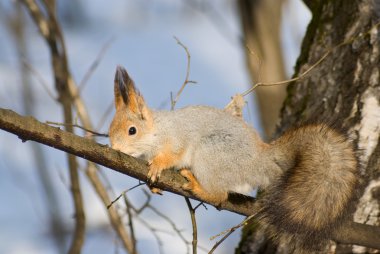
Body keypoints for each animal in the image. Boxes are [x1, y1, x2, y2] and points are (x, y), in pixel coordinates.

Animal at [109, 65, 360, 250]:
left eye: (132, 130)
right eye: (111, 129)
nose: (113, 147)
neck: (157, 131)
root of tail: (260, 160)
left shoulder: (178, 138)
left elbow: (173, 155)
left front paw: (157, 165)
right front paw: (152, 185)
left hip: (212, 153)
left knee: (220, 195)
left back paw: (198, 186)